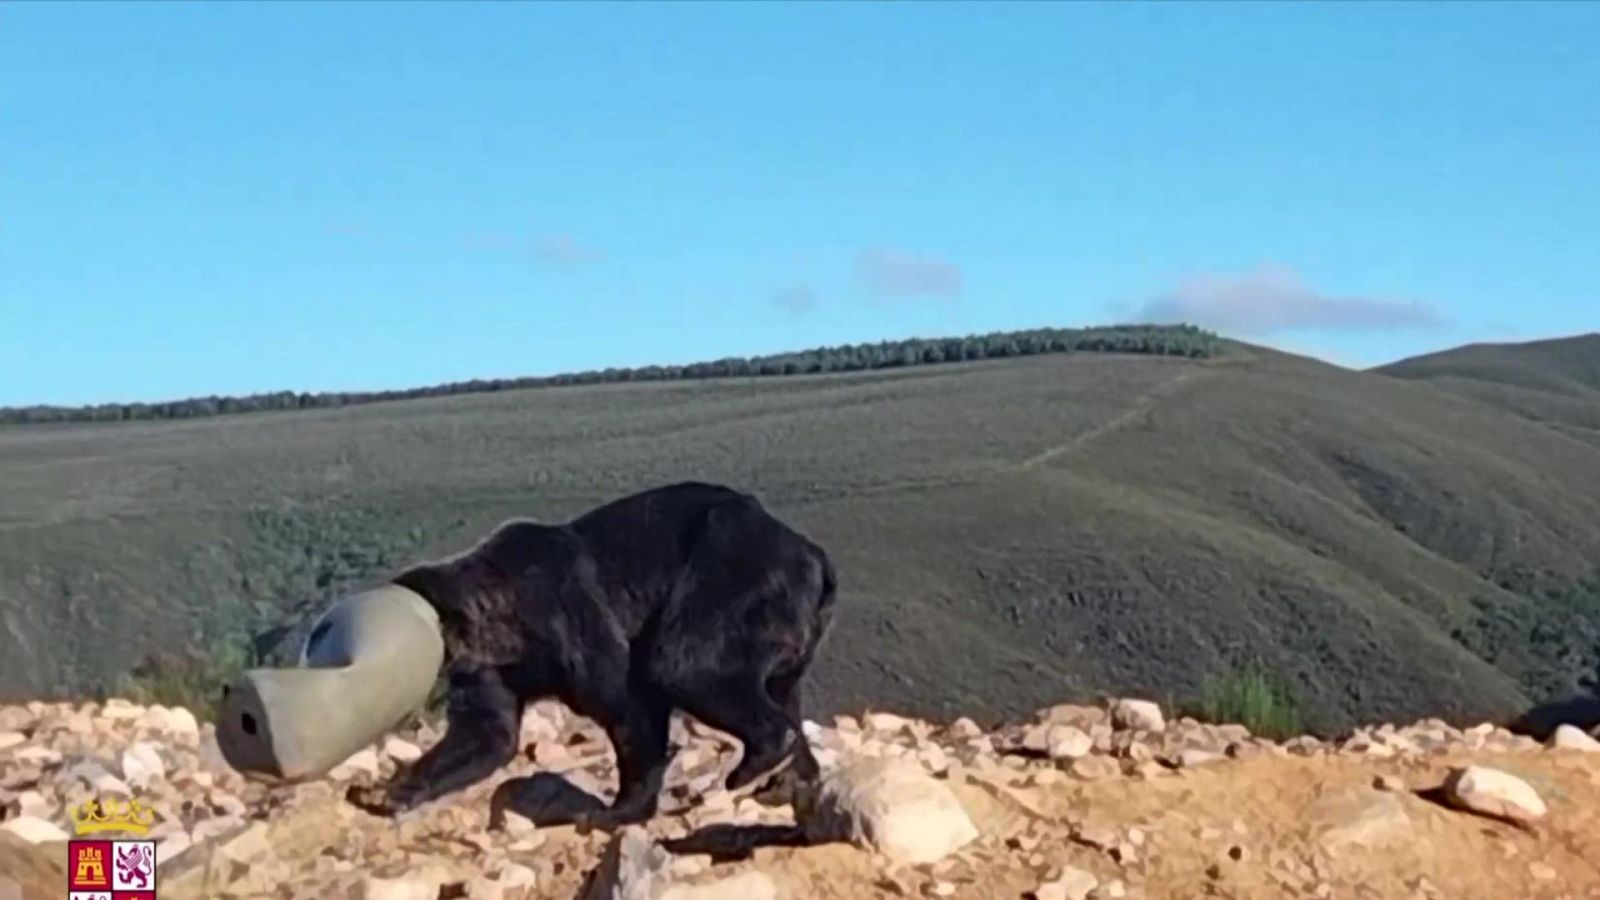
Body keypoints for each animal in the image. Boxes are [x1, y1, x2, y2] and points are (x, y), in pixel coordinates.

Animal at [347, 480, 838, 832]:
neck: (502, 624)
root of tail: (815, 555)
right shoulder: (493, 671)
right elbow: (486, 734)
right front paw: (389, 790)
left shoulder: (568, 614)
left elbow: (630, 704)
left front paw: (616, 811)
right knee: (780, 692)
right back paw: (790, 782)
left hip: (734, 575)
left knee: (686, 662)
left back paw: (756, 763)